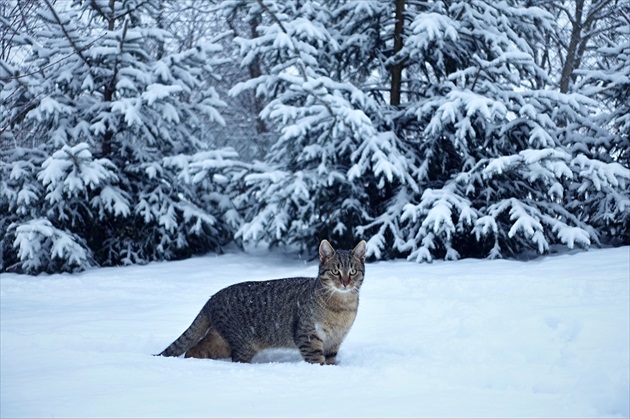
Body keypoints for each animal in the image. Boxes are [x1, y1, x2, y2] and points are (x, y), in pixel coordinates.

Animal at [157, 241, 370, 366]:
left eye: (352, 271)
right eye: (335, 271)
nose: (345, 282)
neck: (342, 307)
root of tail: (212, 298)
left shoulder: (335, 340)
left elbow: (331, 360)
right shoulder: (308, 336)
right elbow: (317, 361)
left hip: (222, 340)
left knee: (194, 349)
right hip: (244, 343)